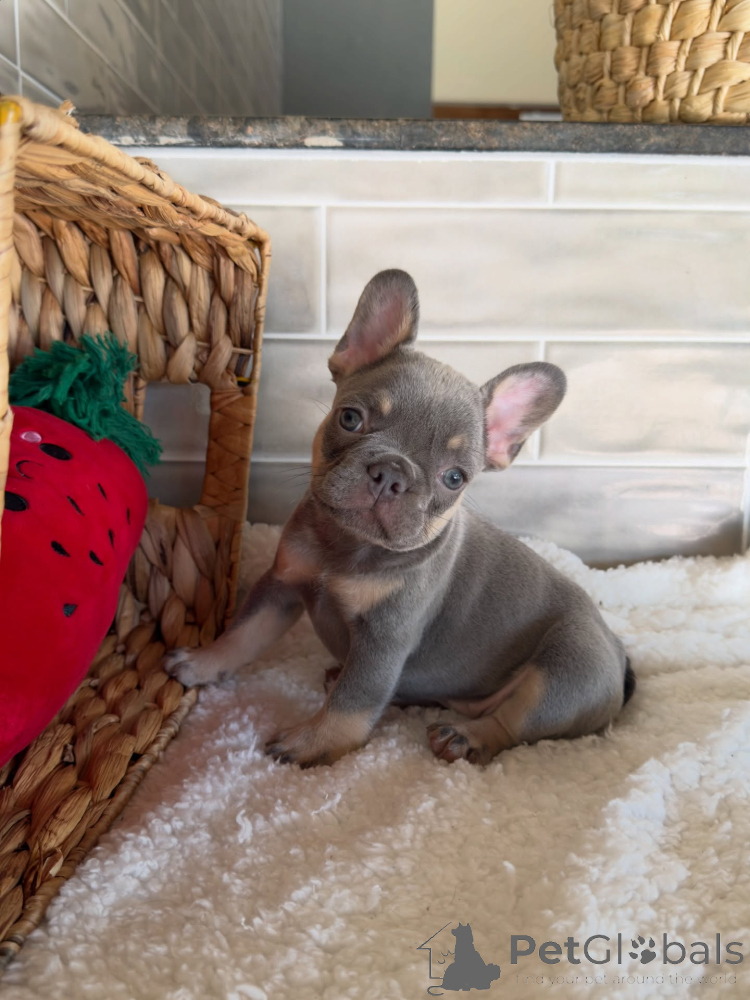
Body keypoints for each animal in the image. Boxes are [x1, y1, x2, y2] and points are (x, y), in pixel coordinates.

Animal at [164, 269, 634, 767]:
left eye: (454, 478)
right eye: (350, 418)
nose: (391, 472)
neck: (348, 547)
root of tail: (618, 655)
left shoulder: (383, 641)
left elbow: (353, 700)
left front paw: (312, 743)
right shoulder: (281, 585)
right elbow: (244, 635)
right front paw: (202, 662)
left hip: (565, 671)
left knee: (512, 722)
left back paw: (464, 737)